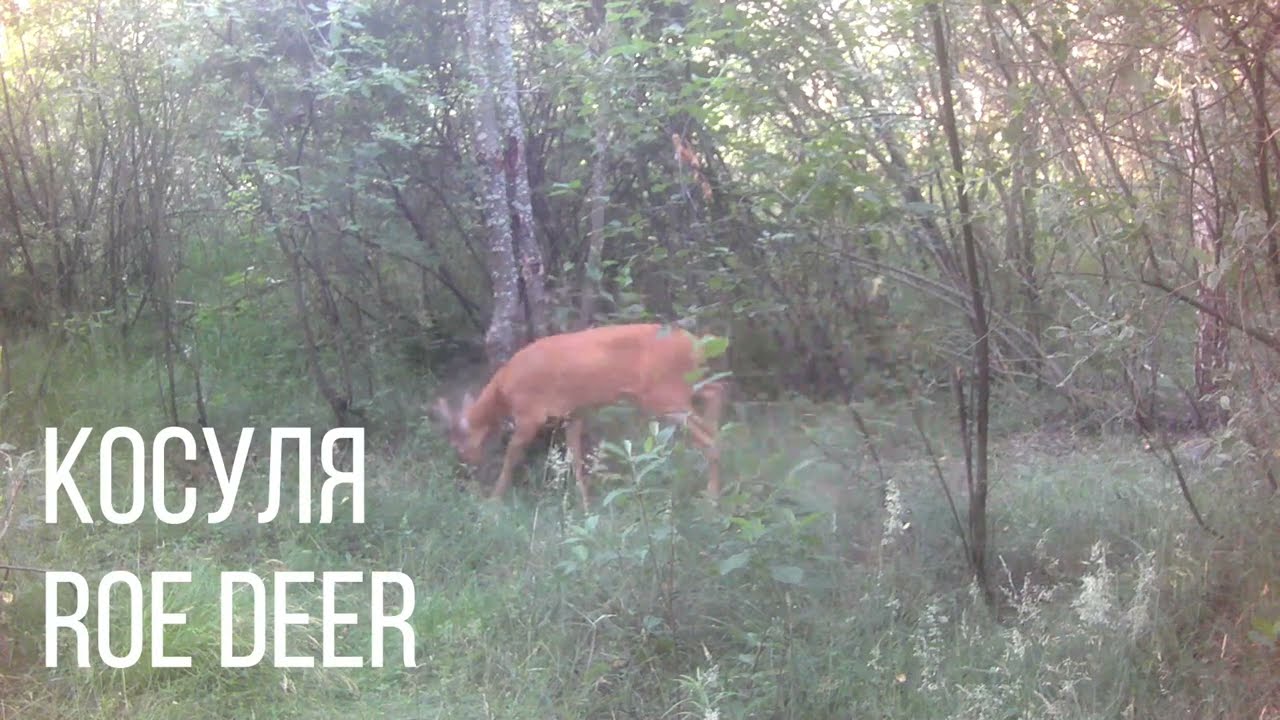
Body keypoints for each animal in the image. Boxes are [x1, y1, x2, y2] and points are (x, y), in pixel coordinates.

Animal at [430, 323, 727, 510]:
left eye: (458, 445)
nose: (464, 471)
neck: (503, 391)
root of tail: (697, 344)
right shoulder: (574, 412)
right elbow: (575, 455)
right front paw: (585, 505)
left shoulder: (529, 414)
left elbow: (512, 455)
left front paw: (493, 500)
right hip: (685, 384)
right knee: (715, 392)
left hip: (663, 393)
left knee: (707, 436)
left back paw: (712, 499)